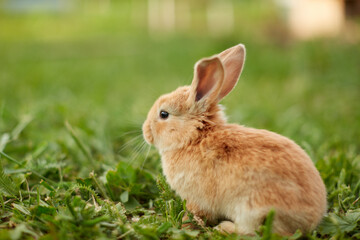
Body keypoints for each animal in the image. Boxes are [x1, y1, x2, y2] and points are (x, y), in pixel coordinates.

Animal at [142, 44, 328, 235]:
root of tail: (310, 220)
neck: (193, 137)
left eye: (163, 114)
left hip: (253, 209)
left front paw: (185, 224)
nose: (145, 132)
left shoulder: (198, 201)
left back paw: (223, 227)